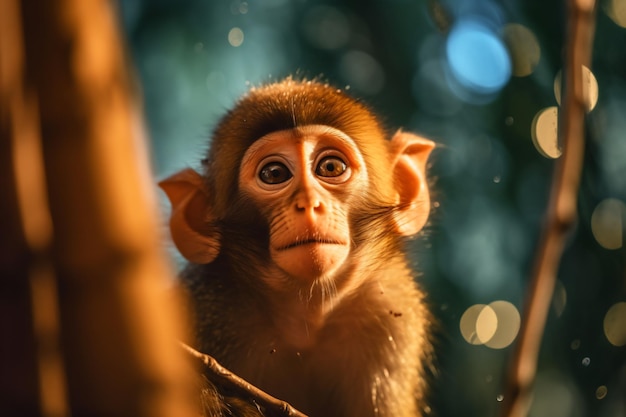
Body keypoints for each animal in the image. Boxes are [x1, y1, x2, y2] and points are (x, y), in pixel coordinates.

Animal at [157, 78, 434, 416]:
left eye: (331, 167)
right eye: (274, 174)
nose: (309, 203)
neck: (305, 320)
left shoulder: (391, 310)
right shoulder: (206, 306)